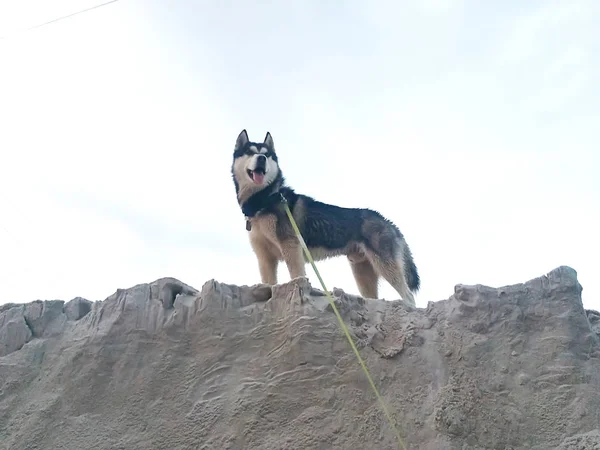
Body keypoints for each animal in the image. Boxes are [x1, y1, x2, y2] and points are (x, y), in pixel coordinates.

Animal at [232, 130, 420, 306]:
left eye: (267, 154)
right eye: (249, 152)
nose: (262, 158)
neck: (265, 199)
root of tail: (388, 222)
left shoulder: (292, 248)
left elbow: (297, 276)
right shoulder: (265, 257)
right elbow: (268, 283)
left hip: (385, 265)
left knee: (408, 295)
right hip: (362, 271)